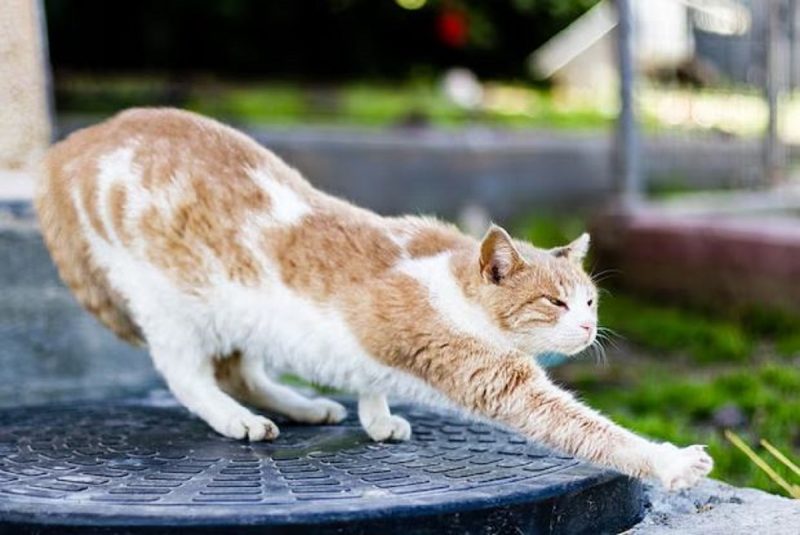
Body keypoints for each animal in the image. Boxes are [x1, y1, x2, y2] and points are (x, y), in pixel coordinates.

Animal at [36, 108, 712, 490]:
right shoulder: (488, 373)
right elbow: (586, 428)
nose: (589, 330)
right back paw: (237, 418)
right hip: (171, 305)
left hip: (239, 322)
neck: (455, 283)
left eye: (591, 303)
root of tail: (77, 142)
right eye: (553, 303)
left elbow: (370, 379)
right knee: (188, 375)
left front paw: (376, 415)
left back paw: (304, 406)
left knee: (240, 369)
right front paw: (670, 462)